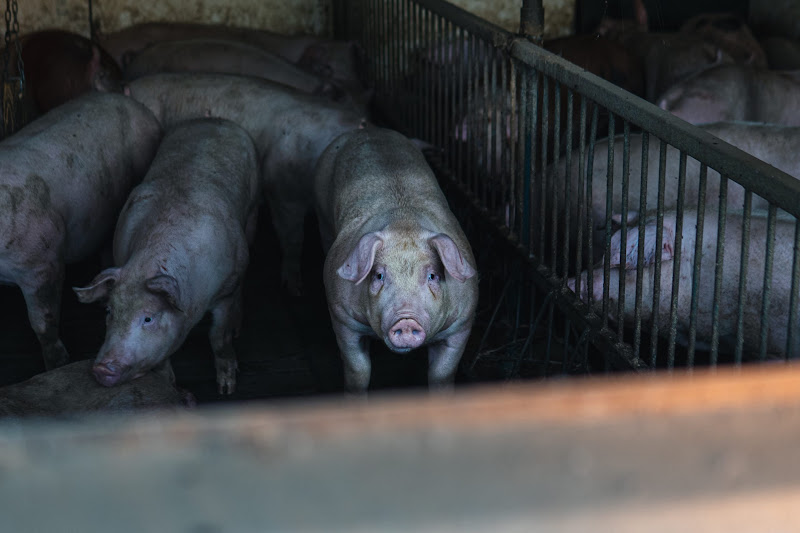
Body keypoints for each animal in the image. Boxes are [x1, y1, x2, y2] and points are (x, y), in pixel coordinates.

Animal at [73, 119, 260, 394]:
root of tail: (212, 119)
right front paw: (168, 388)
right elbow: (162, 363)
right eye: (109, 311)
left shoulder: (225, 291)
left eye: (148, 318)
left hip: (253, 213)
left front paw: (226, 388)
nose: (102, 368)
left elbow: (218, 337)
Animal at [314, 128, 478, 393]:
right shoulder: (342, 317)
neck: (404, 223)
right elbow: (358, 371)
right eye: (379, 275)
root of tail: (369, 130)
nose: (406, 320)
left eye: (432, 275)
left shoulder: (462, 323)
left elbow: (442, 374)